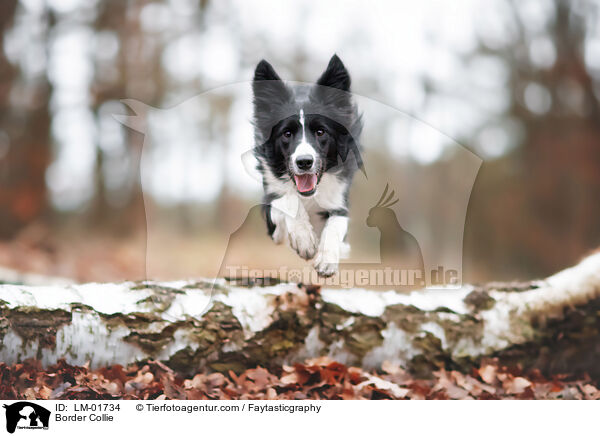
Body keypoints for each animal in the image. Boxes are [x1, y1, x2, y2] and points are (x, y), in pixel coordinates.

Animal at [252, 55, 360, 276]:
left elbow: (337, 223)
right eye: (286, 133)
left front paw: (327, 258)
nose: (304, 162)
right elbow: (287, 199)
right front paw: (304, 239)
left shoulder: (339, 200)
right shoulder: (272, 220)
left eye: (320, 132)